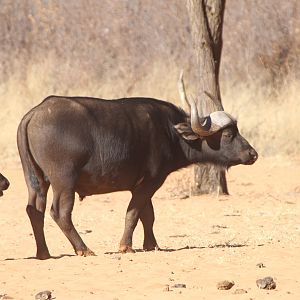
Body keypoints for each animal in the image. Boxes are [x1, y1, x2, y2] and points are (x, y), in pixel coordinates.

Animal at [16, 95, 256, 258]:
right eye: (228, 134)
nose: (252, 154)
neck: (169, 131)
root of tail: (34, 114)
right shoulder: (151, 181)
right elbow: (133, 213)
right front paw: (126, 246)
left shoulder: (142, 185)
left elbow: (147, 215)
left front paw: (152, 245)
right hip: (64, 181)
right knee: (60, 213)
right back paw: (83, 249)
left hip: (36, 181)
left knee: (34, 211)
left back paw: (43, 253)